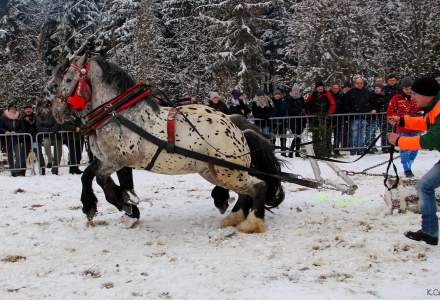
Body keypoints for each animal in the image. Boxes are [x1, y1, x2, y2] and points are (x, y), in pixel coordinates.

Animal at [52, 56, 286, 234]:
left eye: (69, 79)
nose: (56, 112)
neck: (119, 114)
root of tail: (236, 128)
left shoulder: (119, 160)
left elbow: (100, 180)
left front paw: (125, 204)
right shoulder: (105, 159)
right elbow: (87, 175)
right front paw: (93, 205)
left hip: (228, 171)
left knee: (258, 186)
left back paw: (252, 223)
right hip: (215, 171)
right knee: (246, 192)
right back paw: (233, 217)